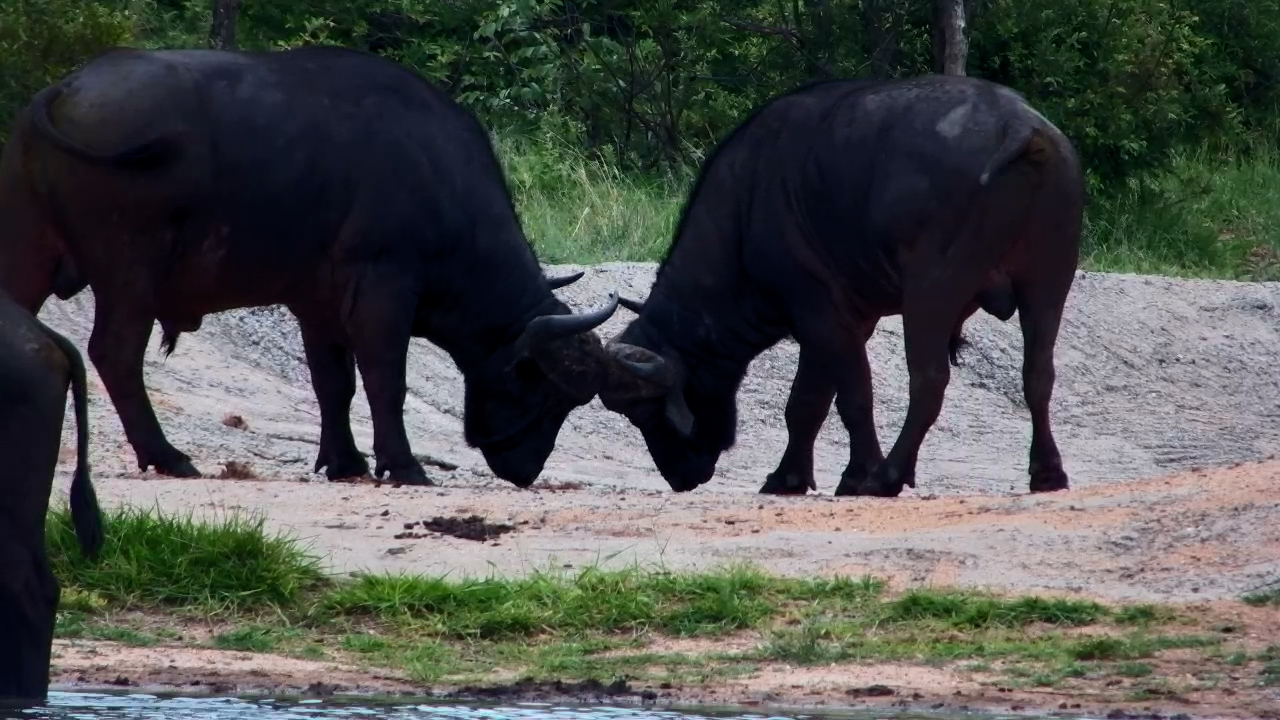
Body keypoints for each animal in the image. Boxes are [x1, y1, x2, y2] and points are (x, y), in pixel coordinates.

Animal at [0, 45, 638, 488]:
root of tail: (63, 90)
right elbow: (384, 377)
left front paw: (343, 460)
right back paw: (167, 455)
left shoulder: (316, 302)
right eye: (547, 392)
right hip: (130, 271)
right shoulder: (383, 285)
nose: (524, 469)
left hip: (28, 253)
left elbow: (333, 382)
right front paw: (402, 464)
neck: (438, 176)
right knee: (115, 352)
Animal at [597, 75, 1086, 497]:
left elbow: (849, 398)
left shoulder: (820, 314)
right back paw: (1047, 472)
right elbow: (809, 401)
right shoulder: (844, 322)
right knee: (1038, 374)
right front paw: (792, 476)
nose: (680, 476)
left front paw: (856, 474)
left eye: (645, 414)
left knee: (928, 380)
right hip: (1049, 281)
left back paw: (888, 476)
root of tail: (1019, 125)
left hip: (932, 292)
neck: (745, 213)